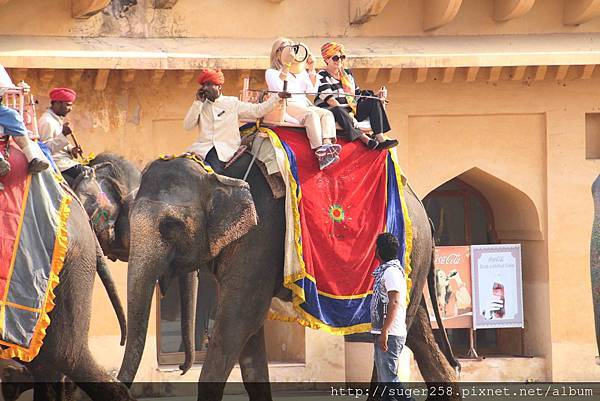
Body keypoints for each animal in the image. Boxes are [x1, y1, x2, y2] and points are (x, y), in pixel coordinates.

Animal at [118, 153, 460, 400]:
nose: (179, 367)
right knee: (414, 329)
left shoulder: (259, 239)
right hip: (412, 263)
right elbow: (250, 338)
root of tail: (424, 212)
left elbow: (239, 320)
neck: (217, 172)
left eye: (170, 225)